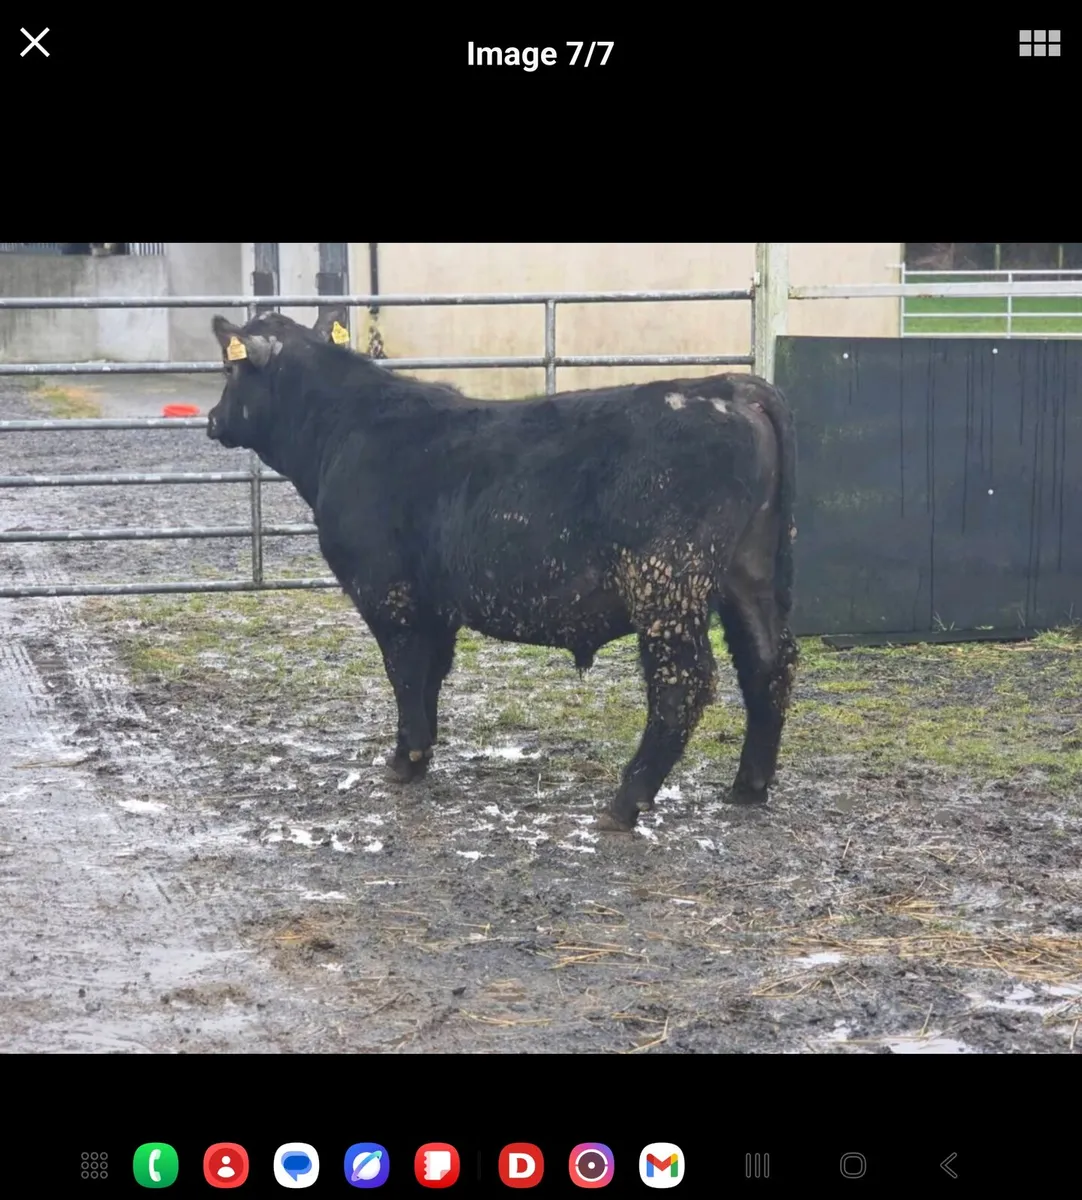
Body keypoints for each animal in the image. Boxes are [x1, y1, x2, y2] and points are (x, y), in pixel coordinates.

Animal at [205, 308, 798, 832]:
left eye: (229, 370)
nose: (211, 420)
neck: (343, 431)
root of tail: (726, 386)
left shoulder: (386, 591)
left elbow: (404, 670)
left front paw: (405, 760)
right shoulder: (434, 604)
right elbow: (430, 674)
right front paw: (419, 752)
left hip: (667, 584)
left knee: (683, 682)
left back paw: (626, 800)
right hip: (747, 575)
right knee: (768, 661)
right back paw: (749, 786)